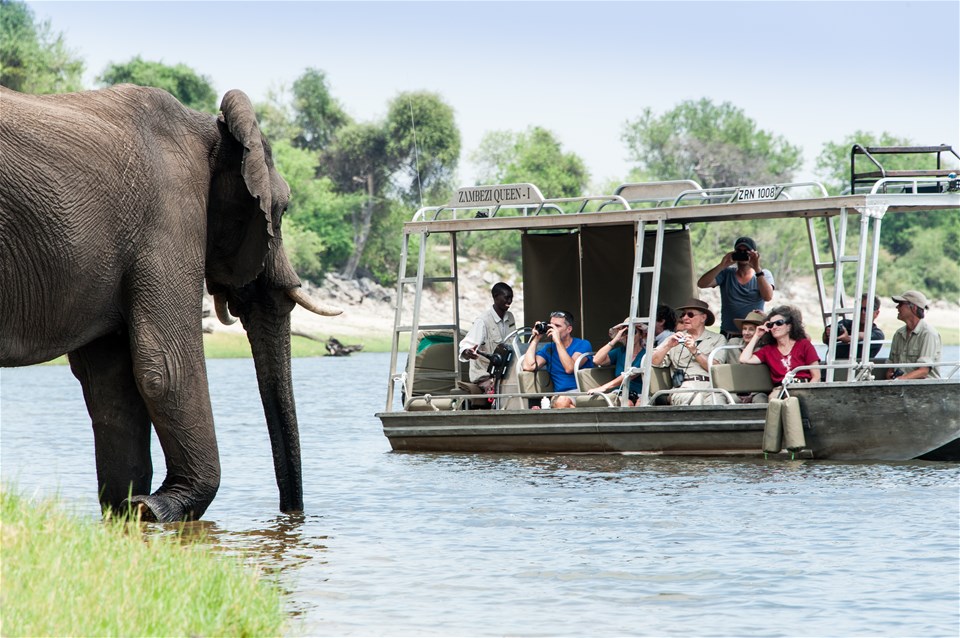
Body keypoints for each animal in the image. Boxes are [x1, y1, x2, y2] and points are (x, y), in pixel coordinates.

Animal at [0, 84, 342, 524]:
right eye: (281, 211)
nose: (291, 518)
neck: (210, 130)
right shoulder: (169, 217)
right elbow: (167, 366)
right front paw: (158, 508)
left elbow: (110, 382)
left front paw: (127, 511)